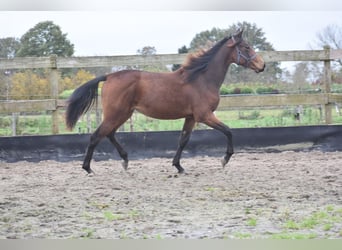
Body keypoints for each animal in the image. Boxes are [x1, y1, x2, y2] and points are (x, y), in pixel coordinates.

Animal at [66, 29, 264, 174]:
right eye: (246, 47)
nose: (262, 65)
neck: (201, 79)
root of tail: (109, 76)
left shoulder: (191, 117)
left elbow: (183, 140)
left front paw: (179, 166)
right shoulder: (204, 115)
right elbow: (228, 131)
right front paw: (224, 159)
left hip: (124, 113)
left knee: (109, 134)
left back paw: (125, 161)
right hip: (116, 113)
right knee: (96, 136)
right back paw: (88, 169)